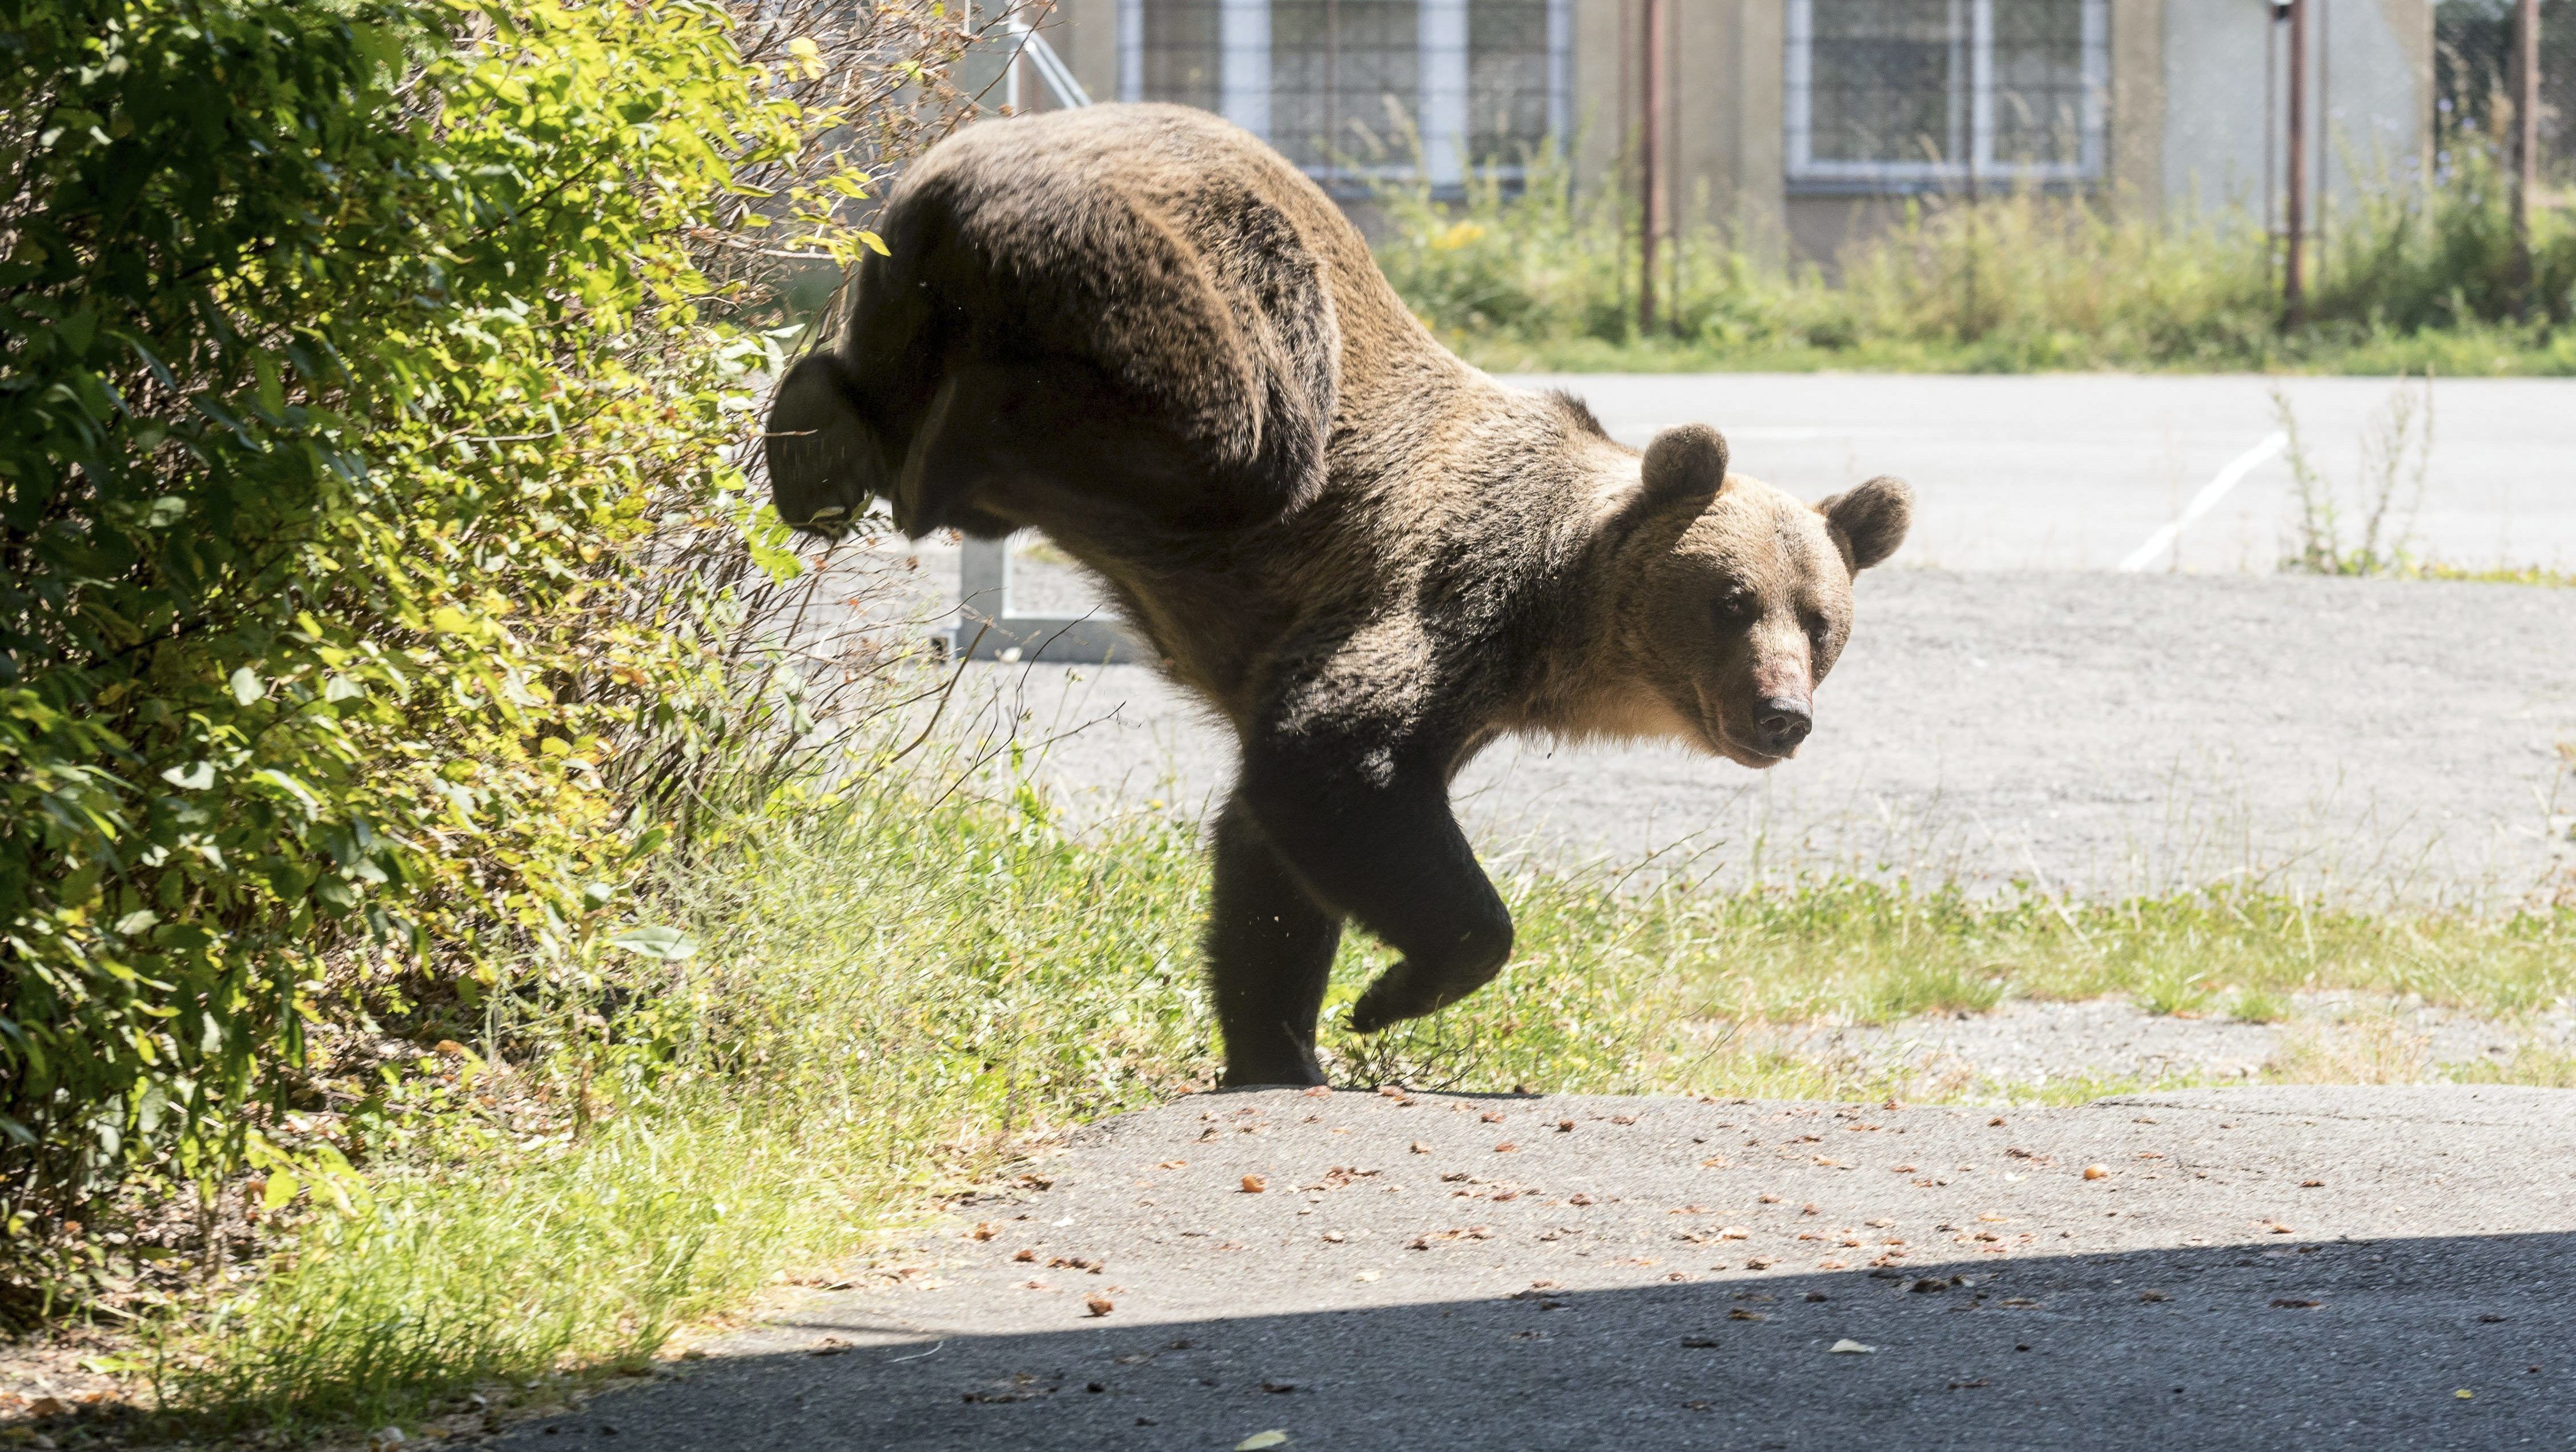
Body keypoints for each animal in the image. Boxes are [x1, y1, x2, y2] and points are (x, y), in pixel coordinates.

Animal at [762, 102, 1916, 1091]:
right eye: (1731, 601)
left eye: (1821, 623)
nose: (1781, 712)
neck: (1557, 620)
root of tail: (956, 167)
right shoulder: (1446, 592)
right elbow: (1332, 753)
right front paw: (1389, 994)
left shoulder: (1465, 692)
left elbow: (1266, 853)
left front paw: (1280, 1041)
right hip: (1186, 281)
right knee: (1234, 428)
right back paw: (933, 452)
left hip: (904, 275)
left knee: (875, 372)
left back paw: (814, 436)